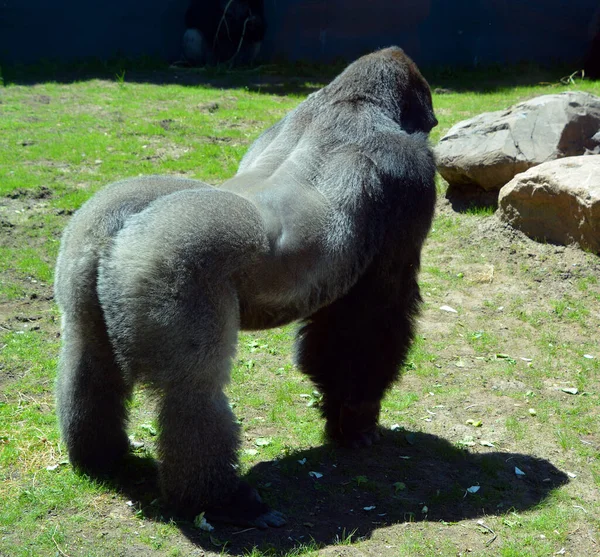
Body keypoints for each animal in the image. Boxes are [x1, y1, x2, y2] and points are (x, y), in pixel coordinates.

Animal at [54, 46, 436, 524]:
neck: (349, 102)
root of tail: (120, 230)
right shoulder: (410, 178)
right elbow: (374, 319)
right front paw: (356, 419)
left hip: (84, 247)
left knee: (87, 355)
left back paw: (101, 456)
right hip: (173, 268)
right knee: (193, 391)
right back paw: (221, 500)